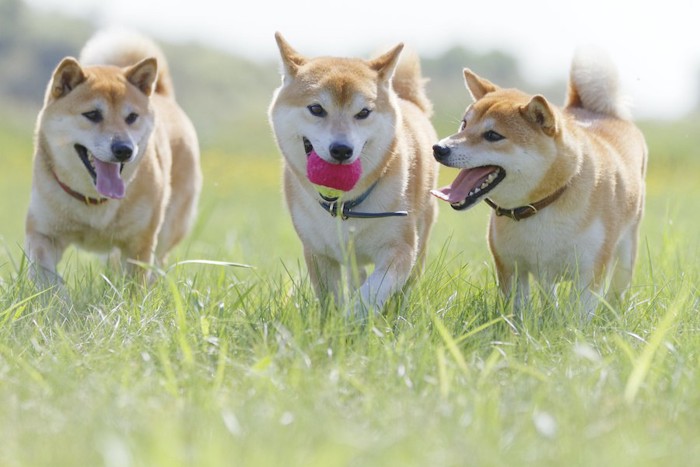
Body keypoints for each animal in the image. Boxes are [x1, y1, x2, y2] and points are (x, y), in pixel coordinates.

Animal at [24, 30, 200, 286]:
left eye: (132, 117)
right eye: (92, 114)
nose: (124, 149)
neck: (93, 201)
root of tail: (163, 95)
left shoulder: (139, 243)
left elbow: (135, 284)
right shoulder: (43, 232)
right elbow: (46, 276)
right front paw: (56, 295)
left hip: (168, 227)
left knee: (157, 262)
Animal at [268, 33, 438, 318]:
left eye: (363, 113)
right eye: (316, 109)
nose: (341, 149)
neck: (345, 205)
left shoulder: (400, 248)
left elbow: (372, 292)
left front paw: (352, 318)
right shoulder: (317, 252)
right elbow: (331, 298)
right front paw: (335, 321)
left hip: (422, 233)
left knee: (406, 284)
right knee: (355, 272)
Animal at [432, 48, 644, 318]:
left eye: (493, 135)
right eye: (464, 124)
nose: (439, 148)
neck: (540, 205)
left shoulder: (589, 272)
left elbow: (579, 315)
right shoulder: (511, 268)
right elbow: (518, 311)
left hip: (626, 249)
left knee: (618, 289)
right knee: (548, 293)